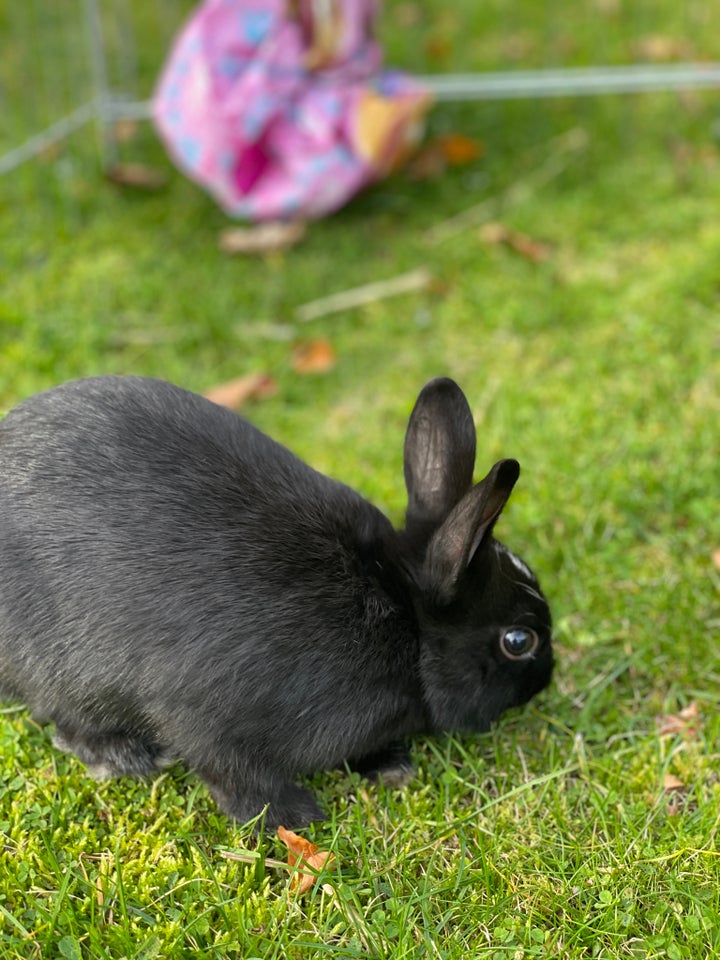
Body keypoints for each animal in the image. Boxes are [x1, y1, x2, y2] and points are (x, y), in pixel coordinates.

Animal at [0, 376, 556, 824]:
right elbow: (230, 771)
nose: (546, 679)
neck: (406, 621)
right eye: (518, 640)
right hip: (65, 667)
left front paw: (388, 764)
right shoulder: (209, 714)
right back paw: (124, 756)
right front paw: (294, 817)